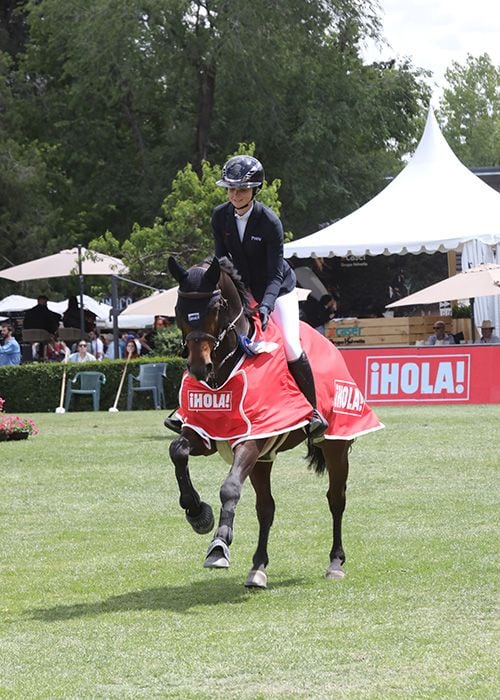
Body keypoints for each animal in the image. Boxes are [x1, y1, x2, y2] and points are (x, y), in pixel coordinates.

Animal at [166, 254, 380, 588]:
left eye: (215, 307)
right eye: (178, 309)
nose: (200, 368)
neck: (224, 370)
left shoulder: (253, 439)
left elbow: (229, 488)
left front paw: (219, 544)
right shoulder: (205, 434)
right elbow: (178, 451)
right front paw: (198, 513)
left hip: (335, 445)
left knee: (336, 498)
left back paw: (335, 562)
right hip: (264, 460)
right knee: (266, 508)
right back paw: (258, 567)